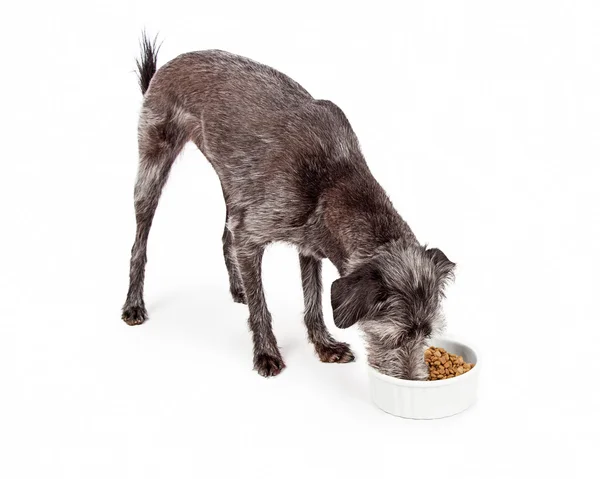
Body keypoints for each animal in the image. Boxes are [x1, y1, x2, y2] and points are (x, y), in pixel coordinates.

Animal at [120, 35, 454, 378]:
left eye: (427, 333)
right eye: (399, 336)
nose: (416, 379)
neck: (334, 182)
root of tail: (166, 68)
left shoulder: (308, 247)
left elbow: (313, 302)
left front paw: (324, 345)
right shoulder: (251, 237)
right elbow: (262, 307)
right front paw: (266, 353)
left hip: (234, 186)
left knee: (225, 237)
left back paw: (238, 287)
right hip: (152, 169)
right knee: (139, 244)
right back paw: (134, 304)